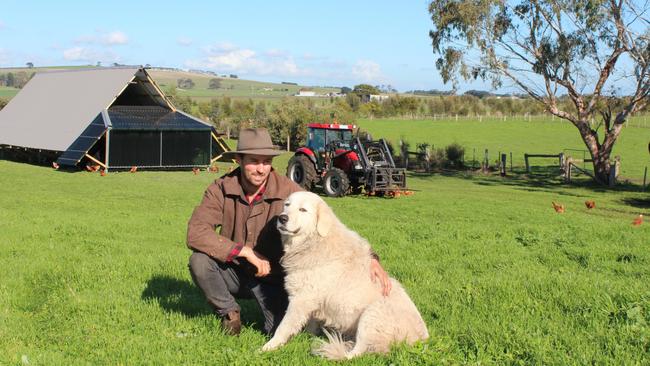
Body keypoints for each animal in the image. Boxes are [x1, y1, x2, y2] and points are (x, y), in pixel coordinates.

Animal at [260, 192, 428, 360]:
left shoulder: (300, 299)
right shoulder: (312, 300)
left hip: (371, 314)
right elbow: (311, 323)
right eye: (287, 205)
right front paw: (307, 336)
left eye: (303, 209)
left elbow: (283, 327)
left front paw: (268, 347)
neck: (315, 241)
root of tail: (421, 339)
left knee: (356, 353)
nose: (282, 218)